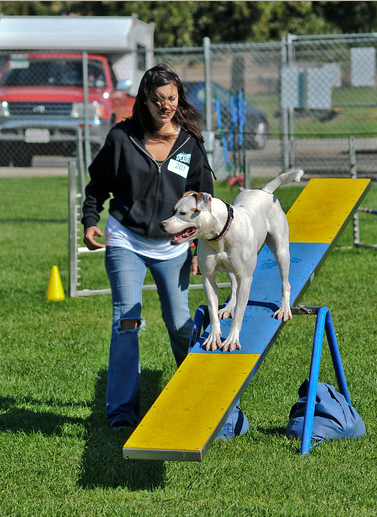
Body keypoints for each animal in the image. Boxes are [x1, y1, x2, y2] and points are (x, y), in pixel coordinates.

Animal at [159, 169, 302, 350]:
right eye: (173, 210)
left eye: (183, 213)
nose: (162, 225)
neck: (220, 235)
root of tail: (265, 191)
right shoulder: (208, 278)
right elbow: (212, 311)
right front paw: (213, 337)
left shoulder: (246, 278)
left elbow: (240, 314)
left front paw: (232, 339)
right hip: (231, 269)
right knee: (234, 286)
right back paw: (228, 307)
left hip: (281, 250)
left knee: (285, 282)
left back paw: (283, 308)